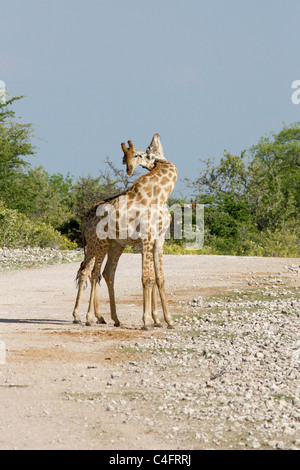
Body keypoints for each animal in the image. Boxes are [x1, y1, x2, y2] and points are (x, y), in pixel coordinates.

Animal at [71, 133, 177, 330]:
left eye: (142, 153)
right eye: (146, 152)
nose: (156, 135)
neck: (162, 194)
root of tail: (84, 220)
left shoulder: (159, 238)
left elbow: (159, 278)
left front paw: (167, 320)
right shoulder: (147, 237)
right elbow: (147, 278)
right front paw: (147, 321)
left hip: (110, 245)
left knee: (98, 272)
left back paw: (102, 317)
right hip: (99, 243)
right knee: (93, 273)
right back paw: (88, 317)